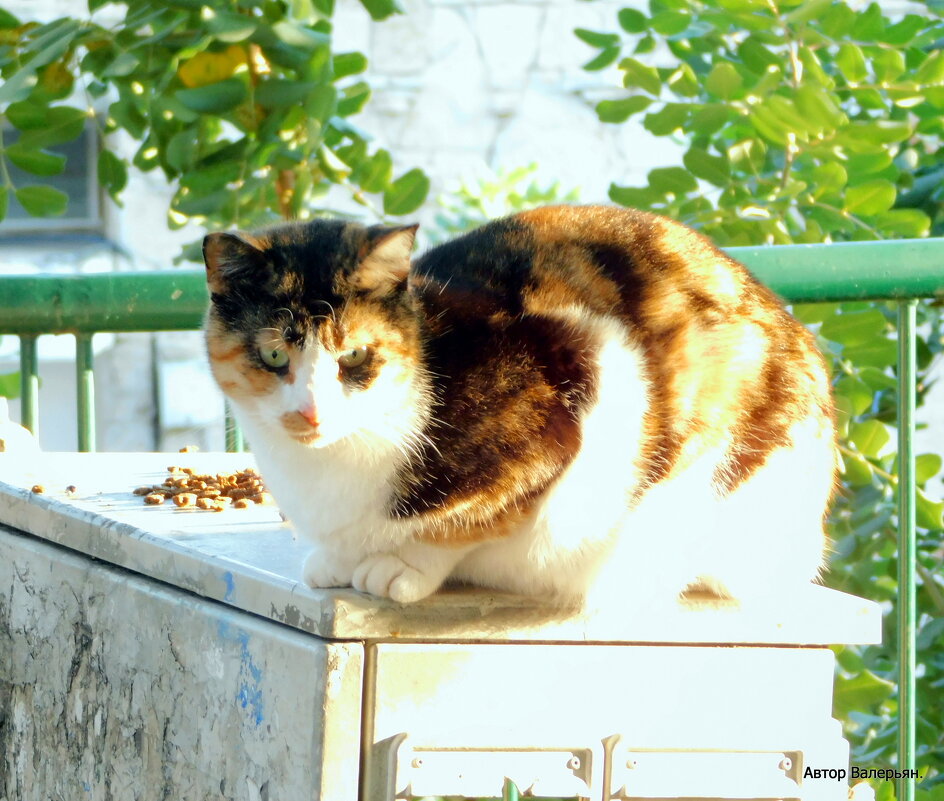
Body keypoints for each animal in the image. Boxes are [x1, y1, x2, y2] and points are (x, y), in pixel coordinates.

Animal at [205, 206, 832, 608]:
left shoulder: (579, 386)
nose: (310, 413)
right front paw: (335, 559)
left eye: (354, 354)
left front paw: (402, 566)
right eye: (272, 353)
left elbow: (467, 521)